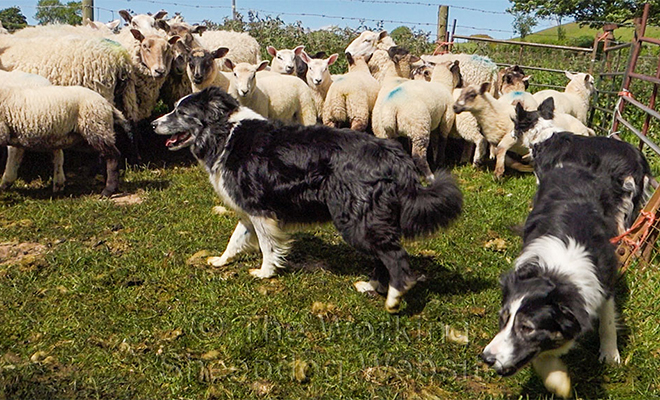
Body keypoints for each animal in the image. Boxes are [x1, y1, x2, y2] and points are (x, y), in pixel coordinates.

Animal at [151, 86, 462, 312]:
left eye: (181, 112)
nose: (153, 124)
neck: (224, 134)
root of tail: (395, 154)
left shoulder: (260, 209)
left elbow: (267, 245)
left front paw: (265, 272)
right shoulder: (248, 210)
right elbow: (236, 239)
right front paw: (221, 260)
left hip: (354, 220)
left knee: (395, 256)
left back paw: (394, 296)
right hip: (369, 219)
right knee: (384, 252)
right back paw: (373, 286)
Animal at [482, 164, 620, 398]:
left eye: (526, 328)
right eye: (503, 319)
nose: (486, 358)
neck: (557, 272)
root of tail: (573, 166)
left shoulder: (606, 279)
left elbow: (608, 320)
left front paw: (610, 354)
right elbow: (541, 358)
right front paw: (558, 380)